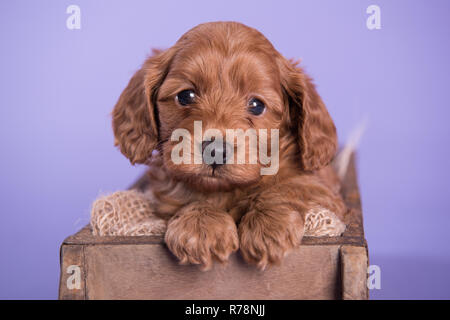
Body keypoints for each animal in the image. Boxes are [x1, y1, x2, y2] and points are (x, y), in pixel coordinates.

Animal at [111, 20, 344, 270]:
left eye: (256, 105)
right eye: (185, 96)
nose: (215, 151)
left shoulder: (322, 189)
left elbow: (289, 188)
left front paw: (269, 225)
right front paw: (201, 226)